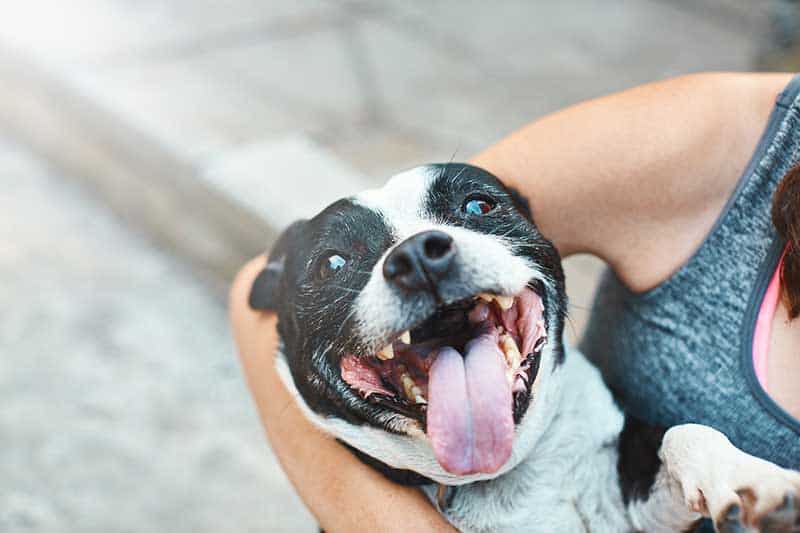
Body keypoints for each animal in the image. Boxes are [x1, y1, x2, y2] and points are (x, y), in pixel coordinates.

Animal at [250, 164, 800, 528]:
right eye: (333, 263)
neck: (503, 472)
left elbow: (683, 433)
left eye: (478, 205)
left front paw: (749, 478)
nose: (418, 255)